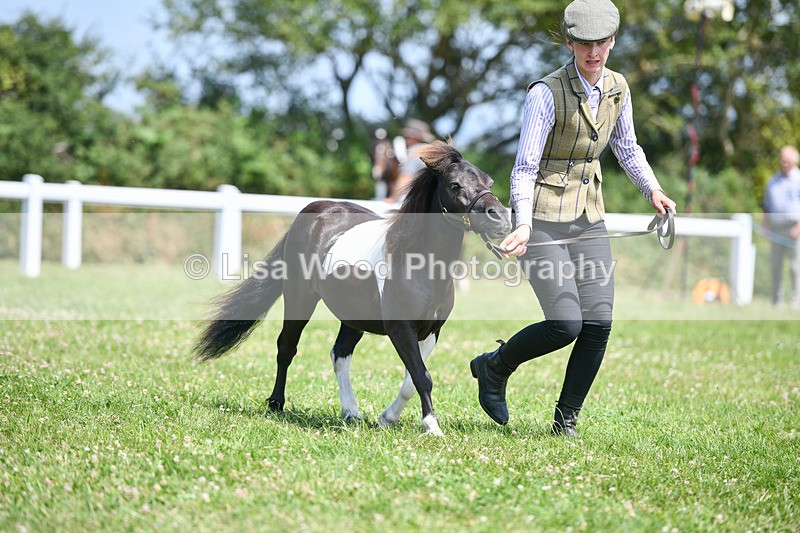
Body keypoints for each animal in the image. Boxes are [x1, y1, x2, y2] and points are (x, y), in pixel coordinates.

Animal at [193, 141, 511, 435]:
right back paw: (276, 404)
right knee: (287, 347)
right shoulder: (400, 328)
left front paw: (387, 419)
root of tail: (313, 210)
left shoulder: (432, 331)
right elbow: (422, 376)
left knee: (340, 355)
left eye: (489, 183)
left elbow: (411, 380)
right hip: (299, 298)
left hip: (352, 316)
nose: (501, 218)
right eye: (454, 184)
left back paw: (351, 413)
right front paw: (431, 426)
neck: (419, 262)